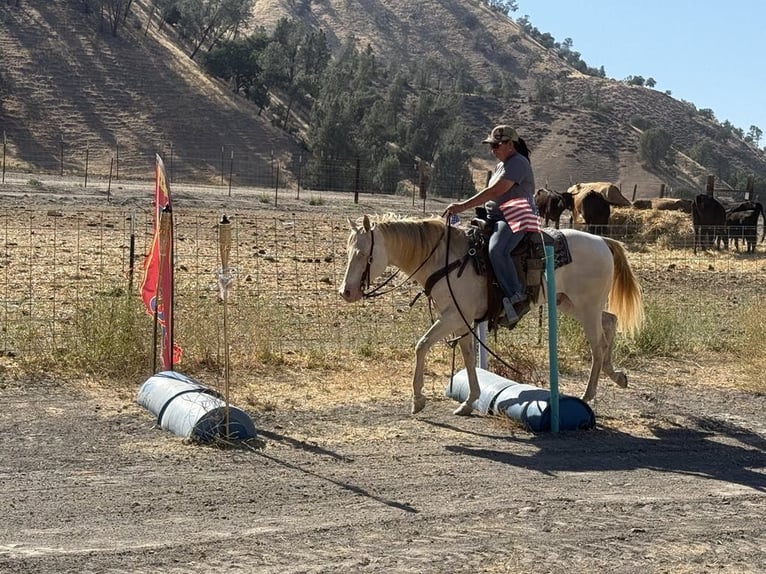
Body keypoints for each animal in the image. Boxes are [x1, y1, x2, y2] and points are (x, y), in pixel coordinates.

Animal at [339, 214, 645, 416]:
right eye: (348, 251)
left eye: (363, 254)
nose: (346, 292)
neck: (445, 260)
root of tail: (602, 240)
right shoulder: (459, 318)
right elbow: (466, 354)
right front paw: (469, 400)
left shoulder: (453, 316)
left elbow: (422, 345)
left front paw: (417, 399)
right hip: (570, 303)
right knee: (610, 321)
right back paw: (617, 376)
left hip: (586, 305)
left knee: (598, 344)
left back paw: (588, 394)